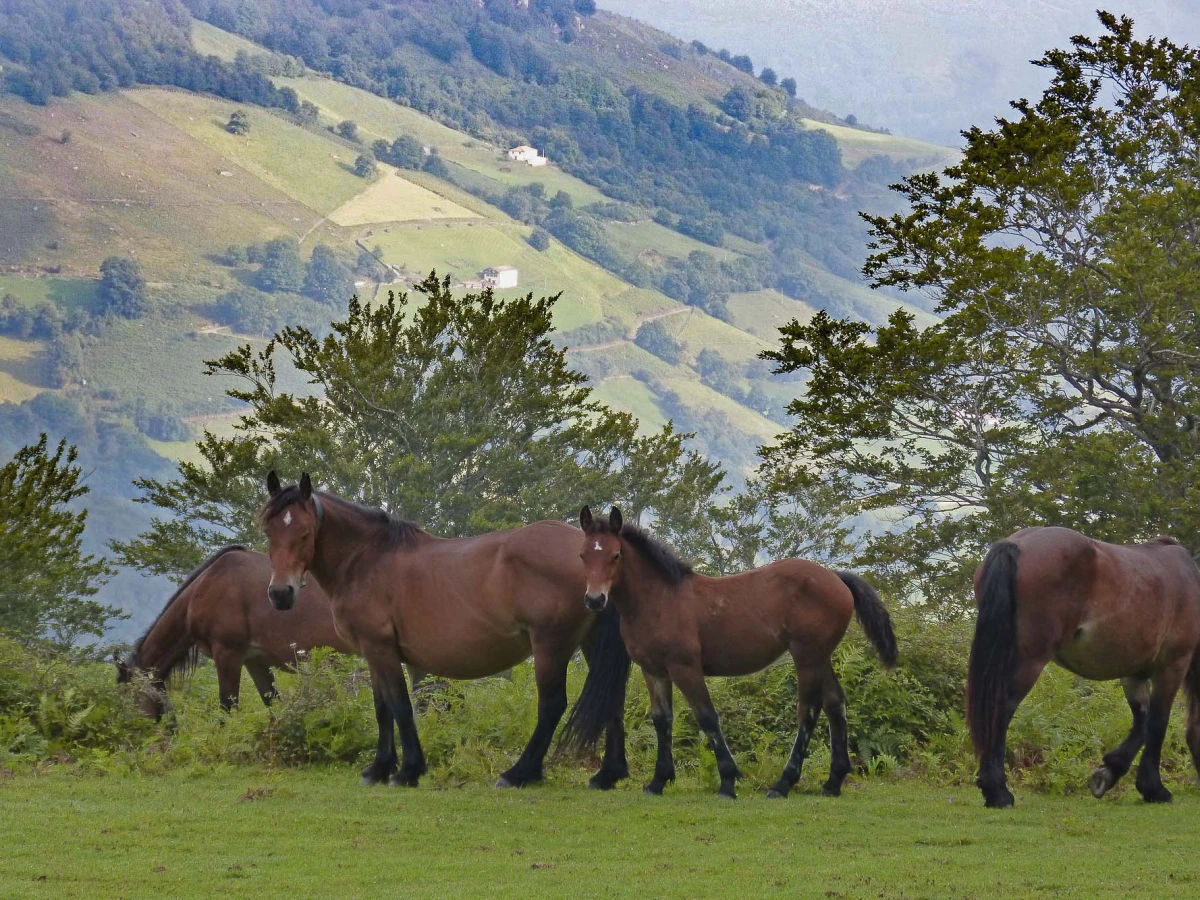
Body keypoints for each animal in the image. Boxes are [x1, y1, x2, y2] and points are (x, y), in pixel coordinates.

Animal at [117, 547, 355, 724]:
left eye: (125, 695)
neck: (203, 590)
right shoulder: (255, 661)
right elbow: (273, 704)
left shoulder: (227, 654)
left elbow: (227, 709)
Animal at [258, 475, 633, 792]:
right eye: (269, 531)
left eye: (305, 533)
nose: (280, 594)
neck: (366, 559)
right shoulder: (374, 651)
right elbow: (383, 709)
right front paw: (379, 768)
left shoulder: (380, 648)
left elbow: (400, 707)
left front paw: (408, 771)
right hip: (590, 643)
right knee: (611, 699)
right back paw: (607, 775)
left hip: (550, 646)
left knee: (552, 705)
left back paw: (519, 773)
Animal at [576, 508, 897, 801]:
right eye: (582, 556)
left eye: (616, 555)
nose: (594, 600)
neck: (659, 600)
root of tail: (836, 578)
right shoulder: (653, 671)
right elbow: (662, 720)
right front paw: (657, 782)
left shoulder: (685, 667)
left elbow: (707, 717)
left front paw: (728, 782)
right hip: (820, 657)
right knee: (835, 705)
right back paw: (832, 782)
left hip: (807, 657)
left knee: (808, 711)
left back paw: (783, 784)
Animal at [964, 528, 1200, 811]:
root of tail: (1016, 544)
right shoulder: (1173, 664)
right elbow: (1157, 722)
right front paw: (1154, 788)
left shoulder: (1134, 672)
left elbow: (1141, 722)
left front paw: (1109, 772)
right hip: (1029, 661)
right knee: (1002, 709)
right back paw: (998, 793)